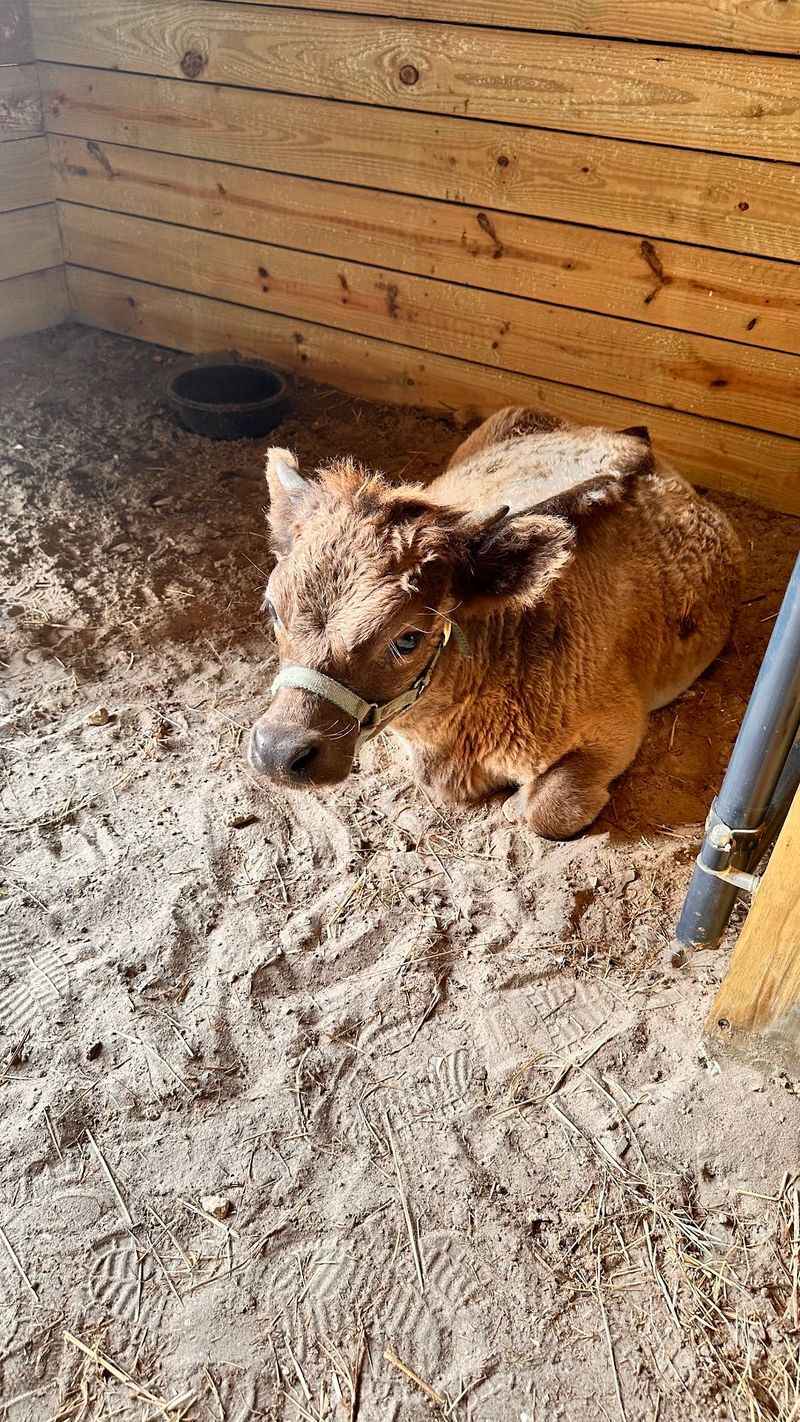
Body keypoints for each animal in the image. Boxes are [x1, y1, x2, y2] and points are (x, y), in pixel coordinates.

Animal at [248, 407, 741, 839]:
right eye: (272, 608)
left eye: (408, 639)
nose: (277, 751)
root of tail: (630, 439)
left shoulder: (619, 726)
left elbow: (550, 809)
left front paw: (516, 804)